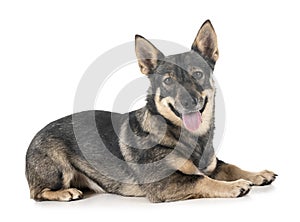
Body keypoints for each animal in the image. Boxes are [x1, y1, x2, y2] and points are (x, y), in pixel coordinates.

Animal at [25, 20, 276, 202]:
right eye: (168, 81)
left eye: (197, 74)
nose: (189, 101)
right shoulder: (162, 183)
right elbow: (201, 181)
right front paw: (235, 186)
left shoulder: (212, 166)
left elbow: (231, 166)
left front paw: (257, 174)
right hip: (58, 171)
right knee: (37, 193)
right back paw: (65, 193)